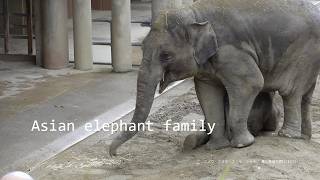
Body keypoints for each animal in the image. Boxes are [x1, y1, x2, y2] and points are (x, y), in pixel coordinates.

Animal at [109, 0, 318, 156]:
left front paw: (242, 145)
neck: (195, 14)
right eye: (142, 47)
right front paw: (216, 147)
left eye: (166, 56)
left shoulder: (231, 52)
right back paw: (305, 137)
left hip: (303, 53)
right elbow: (207, 93)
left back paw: (288, 136)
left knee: (290, 92)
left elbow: (251, 83)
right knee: (305, 97)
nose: (114, 154)